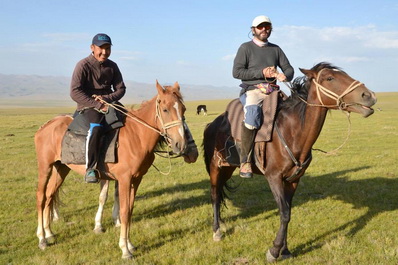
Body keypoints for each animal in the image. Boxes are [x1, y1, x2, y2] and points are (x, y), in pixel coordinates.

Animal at [34, 80, 188, 258]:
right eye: (165, 109)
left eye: (183, 109)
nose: (180, 144)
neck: (137, 136)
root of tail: (45, 126)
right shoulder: (124, 179)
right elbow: (123, 211)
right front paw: (124, 249)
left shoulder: (136, 179)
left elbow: (129, 211)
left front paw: (130, 244)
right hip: (45, 167)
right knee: (41, 197)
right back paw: (42, 239)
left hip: (61, 168)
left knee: (50, 195)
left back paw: (49, 233)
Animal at [204, 62, 378, 262]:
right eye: (329, 78)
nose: (369, 96)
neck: (292, 132)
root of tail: (212, 124)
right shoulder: (274, 178)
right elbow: (284, 213)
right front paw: (274, 251)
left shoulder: (293, 180)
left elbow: (288, 211)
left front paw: (285, 250)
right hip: (215, 167)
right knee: (215, 195)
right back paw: (217, 231)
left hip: (227, 168)